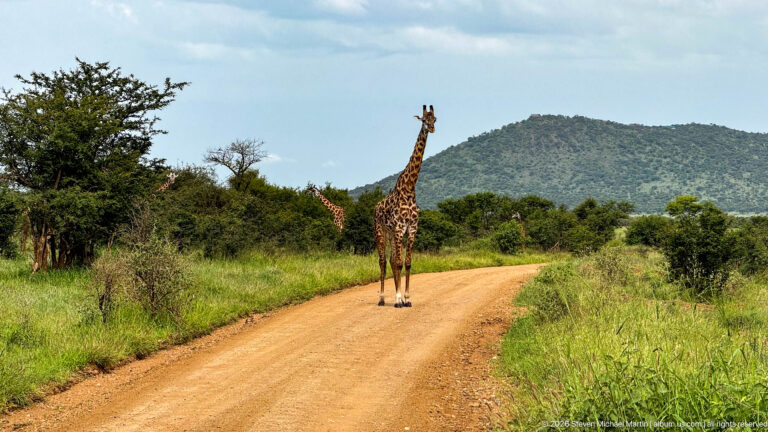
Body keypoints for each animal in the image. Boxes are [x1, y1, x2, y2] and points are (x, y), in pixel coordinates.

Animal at [373, 105, 436, 308]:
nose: (432, 128)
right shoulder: (400, 228)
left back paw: (396, 296)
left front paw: (406, 298)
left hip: (391, 233)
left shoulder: (412, 228)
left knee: (392, 260)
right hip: (381, 232)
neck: (409, 188)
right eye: (424, 120)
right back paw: (382, 298)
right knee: (383, 261)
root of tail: (375, 207)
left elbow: (407, 263)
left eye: (435, 119)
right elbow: (399, 263)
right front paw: (399, 299)